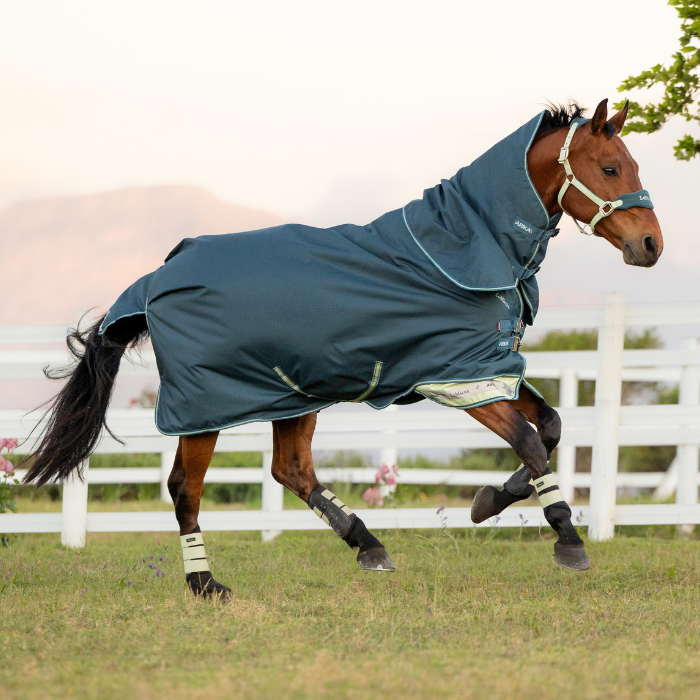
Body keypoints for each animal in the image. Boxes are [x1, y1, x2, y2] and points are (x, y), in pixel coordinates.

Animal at [23, 98, 662, 599]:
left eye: (632, 164)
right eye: (610, 166)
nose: (651, 244)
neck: (469, 245)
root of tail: (159, 276)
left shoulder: (489, 369)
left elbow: (550, 427)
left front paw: (490, 501)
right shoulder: (459, 378)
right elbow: (531, 442)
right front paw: (568, 538)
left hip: (292, 395)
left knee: (292, 470)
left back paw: (369, 546)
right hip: (207, 407)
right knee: (187, 488)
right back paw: (205, 583)